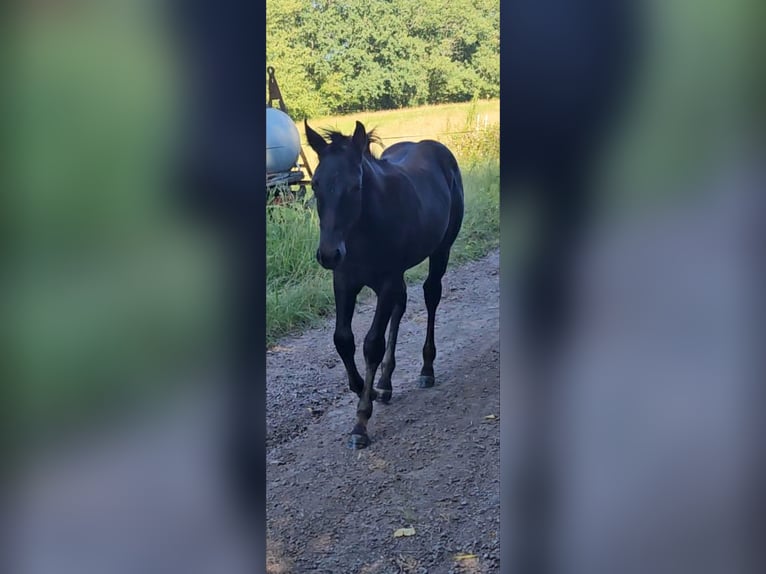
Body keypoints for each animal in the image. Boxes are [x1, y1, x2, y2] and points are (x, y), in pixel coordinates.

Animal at [304, 121, 462, 452]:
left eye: (355, 186)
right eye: (315, 185)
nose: (328, 254)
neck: (363, 231)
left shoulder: (386, 281)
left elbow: (372, 344)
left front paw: (361, 421)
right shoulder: (344, 282)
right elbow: (343, 339)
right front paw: (368, 389)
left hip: (440, 250)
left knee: (431, 295)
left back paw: (426, 369)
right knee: (401, 306)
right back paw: (386, 383)